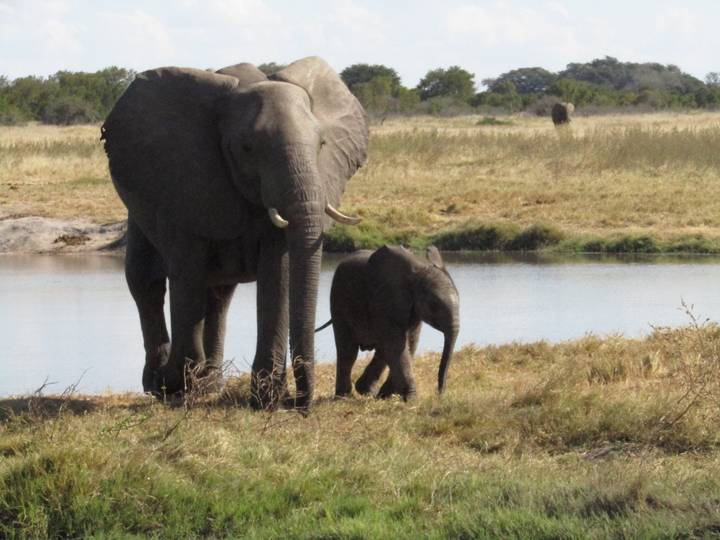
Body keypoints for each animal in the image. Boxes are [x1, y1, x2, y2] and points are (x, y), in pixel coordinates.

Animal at [101, 57, 368, 410]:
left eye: (322, 144)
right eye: (247, 148)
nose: (299, 403)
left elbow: (278, 275)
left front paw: (266, 399)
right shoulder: (182, 184)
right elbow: (186, 275)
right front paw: (176, 386)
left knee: (219, 294)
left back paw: (208, 383)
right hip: (140, 209)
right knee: (147, 281)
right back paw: (161, 383)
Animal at [318, 245, 460, 399]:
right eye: (434, 306)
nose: (439, 395)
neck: (419, 271)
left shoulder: (413, 310)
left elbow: (409, 342)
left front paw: (389, 396)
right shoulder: (385, 299)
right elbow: (397, 344)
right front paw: (411, 399)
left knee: (380, 349)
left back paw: (368, 392)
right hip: (339, 302)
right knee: (348, 351)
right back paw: (345, 396)